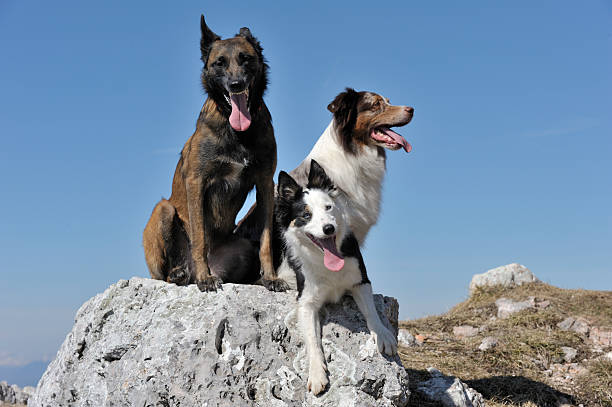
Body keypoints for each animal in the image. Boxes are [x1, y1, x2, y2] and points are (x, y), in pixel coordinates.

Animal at [142, 14, 288, 292]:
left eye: (245, 58)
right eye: (219, 63)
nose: (236, 84)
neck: (238, 133)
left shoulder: (265, 183)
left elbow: (266, 242)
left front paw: (271, 278)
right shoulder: (196, 182)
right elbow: (199, 237)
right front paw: (205, 278)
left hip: (243, 247)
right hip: (162, 210)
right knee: (164, 275)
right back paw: (183, 273)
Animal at [274, 161, 396, 396]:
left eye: (328, 207)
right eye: (306, 215)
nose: (328, 228)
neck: (327, 262)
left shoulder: (361, 281)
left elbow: (371, 313)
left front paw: (383, 335)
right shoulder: (306, 301)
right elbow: (312, 340)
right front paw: (316, 374)